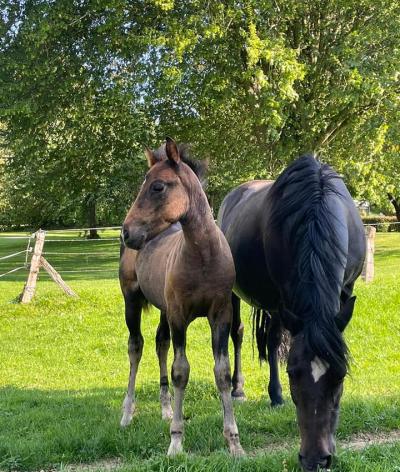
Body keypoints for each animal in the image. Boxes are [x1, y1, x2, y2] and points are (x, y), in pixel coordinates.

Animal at [119, 137, 244, 458]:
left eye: (158, 186)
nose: (127, 232)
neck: (203, 257)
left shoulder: (220, 314)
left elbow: (222, 372)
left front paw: (234, 441)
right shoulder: (179, 315)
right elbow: (181, 371)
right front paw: (176, 441)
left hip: (162, 309)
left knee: (160, 343)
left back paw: (164, 409)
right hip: (131, 301)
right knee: (136, 347)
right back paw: (127, 413)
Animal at [219, 154, 366, 468]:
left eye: (340, 376)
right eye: (292, 374)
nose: (315, 460)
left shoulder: (345, 289)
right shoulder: (281, 295)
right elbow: (275, 342)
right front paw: (276, 395)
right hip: (233, 293)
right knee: (237, 334)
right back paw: (238, 388)